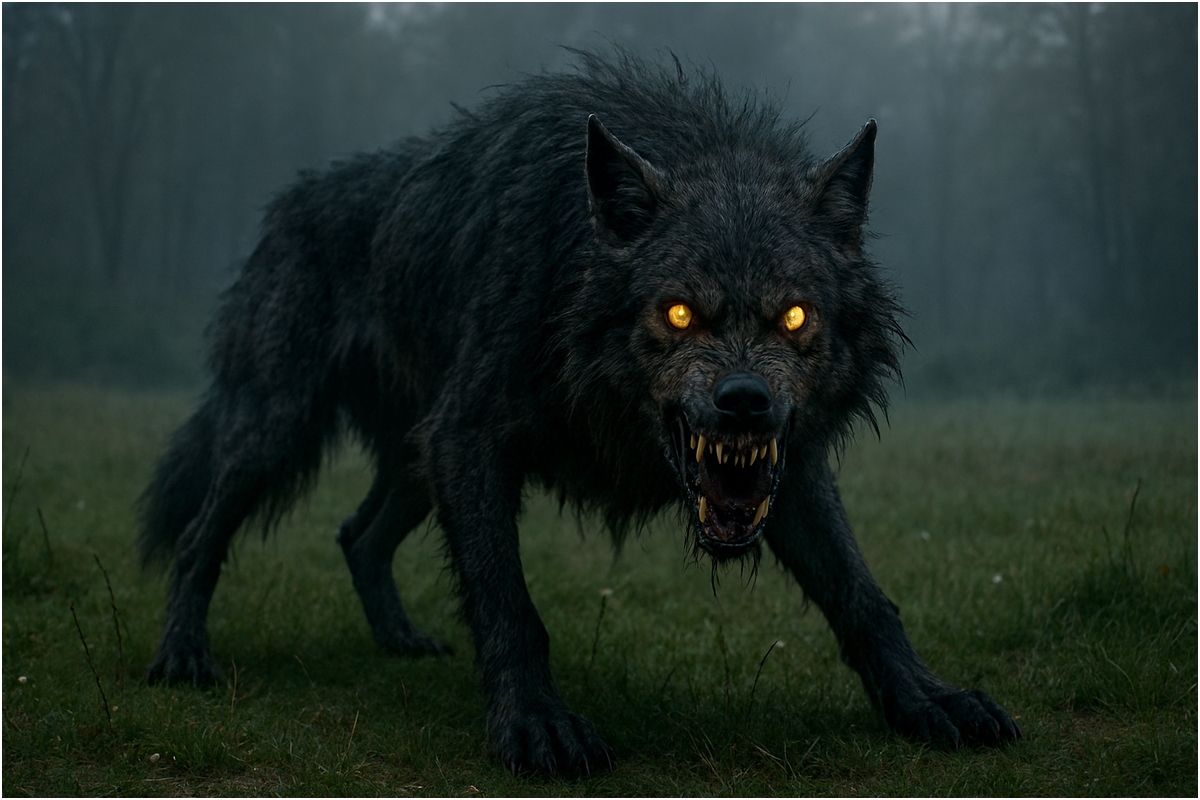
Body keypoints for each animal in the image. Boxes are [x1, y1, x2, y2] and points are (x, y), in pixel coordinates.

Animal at [140, 52, 1019, 774]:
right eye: (677, 314)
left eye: (795, 316)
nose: (744, 404)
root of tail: (286, 204)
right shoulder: (471, 438)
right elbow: (510, 604)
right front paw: (534, 724)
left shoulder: (790, 468)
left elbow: (865, 598)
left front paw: (929, 700)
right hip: (281, 431)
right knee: (199, 533)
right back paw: (181, 655)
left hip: (416, 459)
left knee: (357, 536)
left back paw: (399, 642)